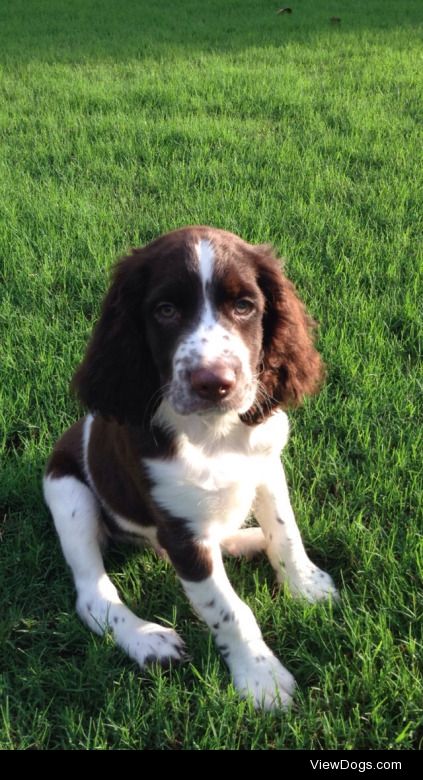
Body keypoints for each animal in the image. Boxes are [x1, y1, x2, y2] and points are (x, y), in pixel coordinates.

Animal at [43, 227, 340, 712]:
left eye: (244, 306)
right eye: (165, 310)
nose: (213, 382)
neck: (214, 433)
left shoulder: (267, 466)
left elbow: (286, 532)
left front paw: (306, 585)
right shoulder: (180, 532)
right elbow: (230, 610)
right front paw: (261, 677)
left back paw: (245, 540)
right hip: (67, 491)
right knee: (92, 595)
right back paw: (147, 639)